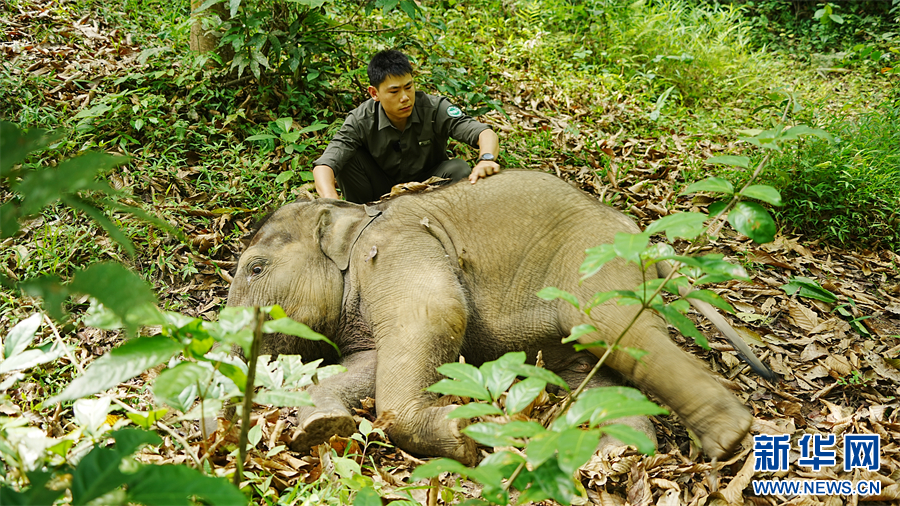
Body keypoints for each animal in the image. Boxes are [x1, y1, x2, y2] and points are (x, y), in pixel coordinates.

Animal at [226, 169, 762, 465]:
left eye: (255, 269)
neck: (355, 214)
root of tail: (645, 238)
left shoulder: (398, 247)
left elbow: (437, 313)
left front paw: (465, 437)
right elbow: (368, 364)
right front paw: (319, 429)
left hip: (594, 261)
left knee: (618, 332)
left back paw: (730, 439)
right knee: (595, 370)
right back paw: (612, 454)